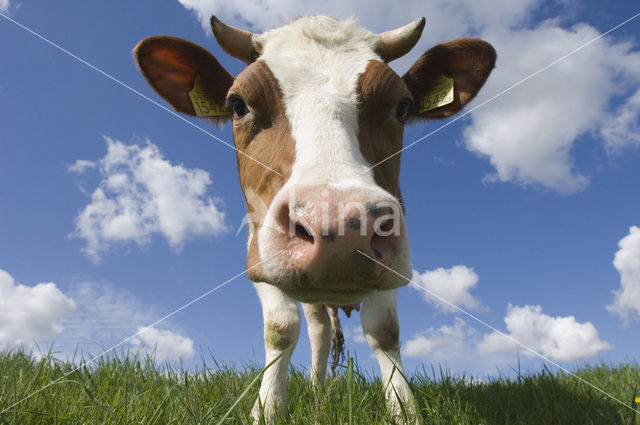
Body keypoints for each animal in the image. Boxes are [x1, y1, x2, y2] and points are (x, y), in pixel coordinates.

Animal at [134, 14, 496, 422]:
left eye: (402, 107)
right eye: (238, 105)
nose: (341, 225)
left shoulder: (393, 264)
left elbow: (385, 331)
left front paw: (404, 410)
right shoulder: (258, 254)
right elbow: (281, 329)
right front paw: (267, 409)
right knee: (319, 331)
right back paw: (316, 391)